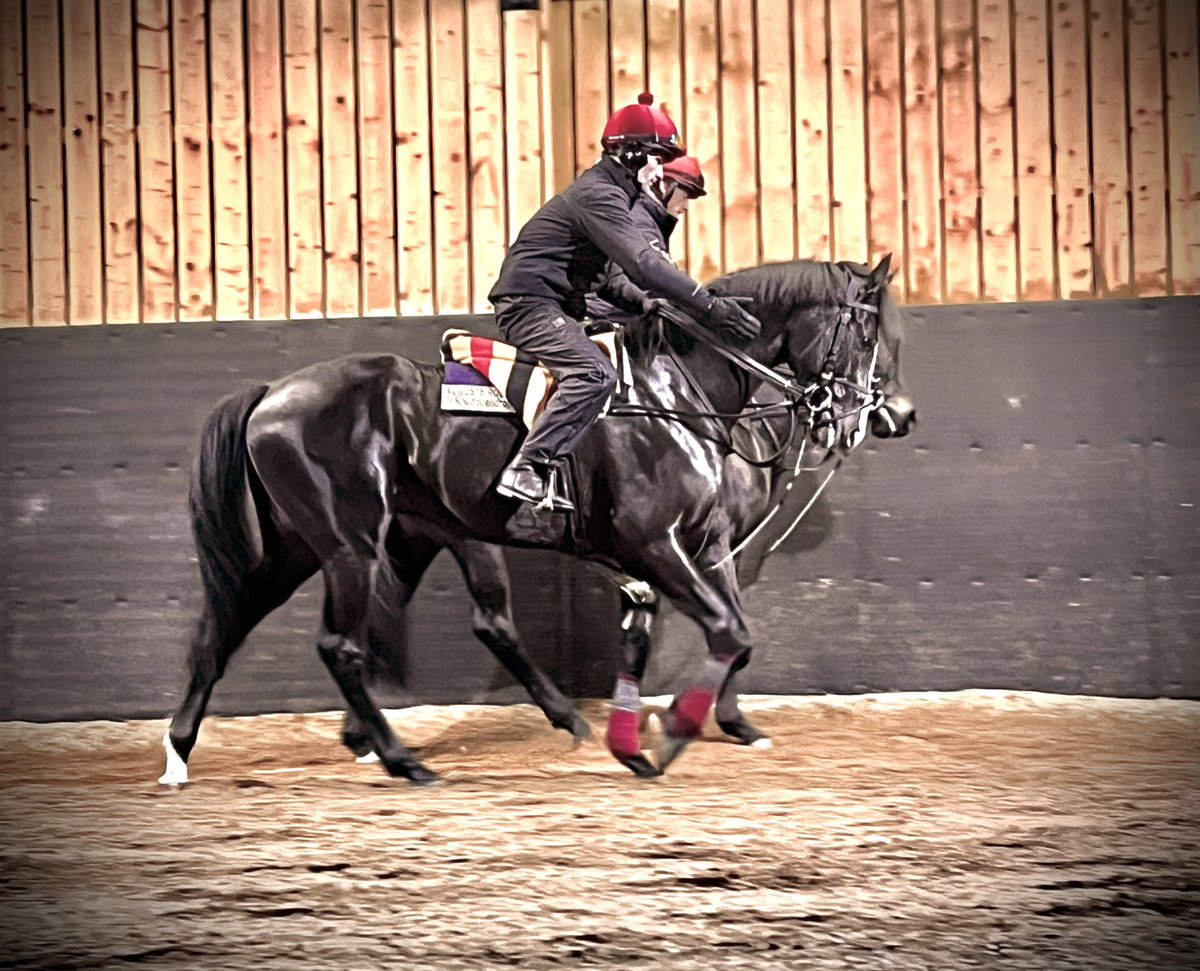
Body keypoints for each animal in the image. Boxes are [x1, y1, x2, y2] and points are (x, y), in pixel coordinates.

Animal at [159, 256, 909, 785]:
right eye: (868, 332)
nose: (895, 414)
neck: (673, 394)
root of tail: (271, 395)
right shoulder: (657, 545)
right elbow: (727, 629)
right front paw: (670, 733)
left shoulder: (698, 546)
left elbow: (713, 635)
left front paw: (653, 737)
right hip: (350, 545)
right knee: (343, 644)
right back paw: (406, 760)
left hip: (310, 549)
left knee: (222, 631)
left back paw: (183, 751)